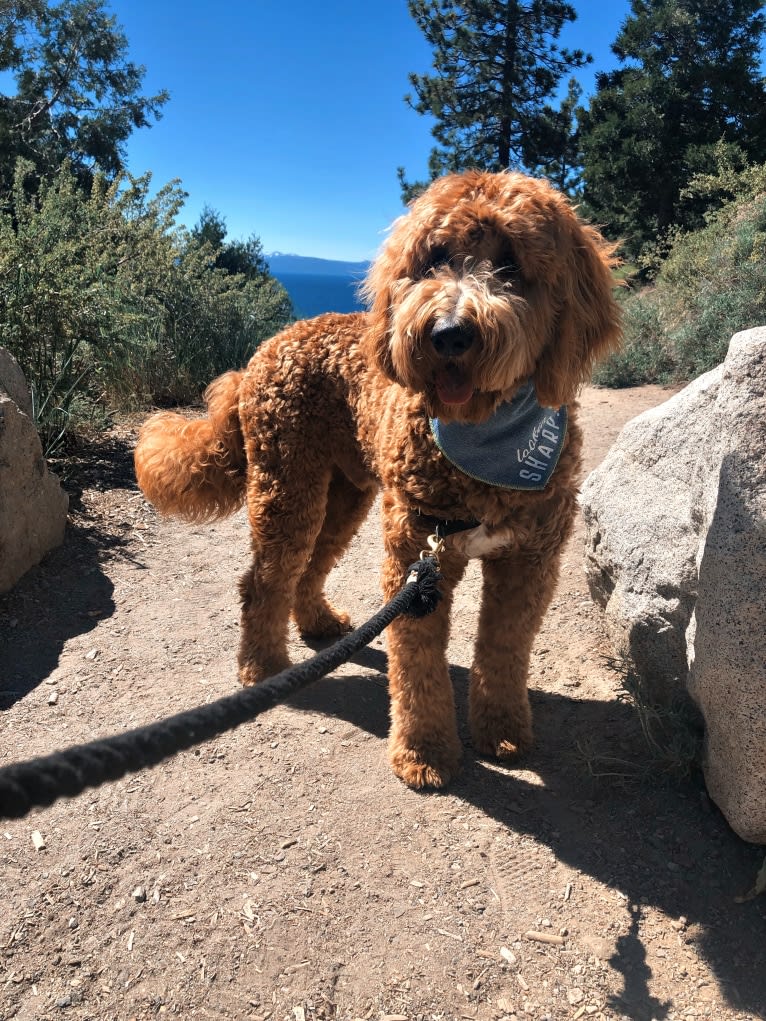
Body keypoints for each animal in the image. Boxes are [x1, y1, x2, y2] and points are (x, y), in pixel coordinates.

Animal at [133, 171, 625, 788]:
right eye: (434, 258)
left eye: (511, 265)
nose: (449, 334)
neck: (485, 440)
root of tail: (264, 350)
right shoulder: (417, 554)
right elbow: (417, 667)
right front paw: (425, 751)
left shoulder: (528, 562)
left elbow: (505, 650)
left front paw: (504, 730)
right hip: (287, 485)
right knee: (264, 580)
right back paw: (262, 666)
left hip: (345, 495)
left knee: (311, 564)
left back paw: (318, 622)